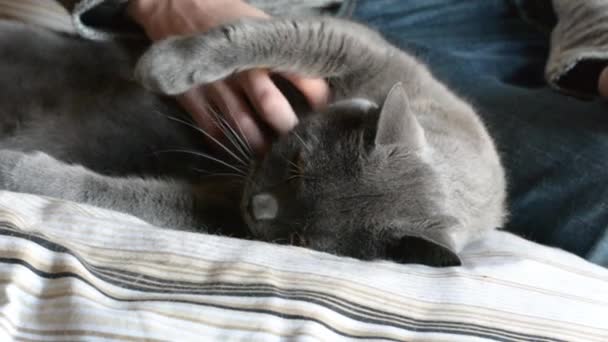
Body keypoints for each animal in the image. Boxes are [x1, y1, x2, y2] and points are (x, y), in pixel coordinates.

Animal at [0, 17, 506, 266]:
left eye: (302, 239)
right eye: (299, 163)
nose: (258, 207)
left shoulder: (222, 212)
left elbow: (119, 193)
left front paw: (15, 170)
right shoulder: (360, 47)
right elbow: (261, 37)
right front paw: (164, 66)